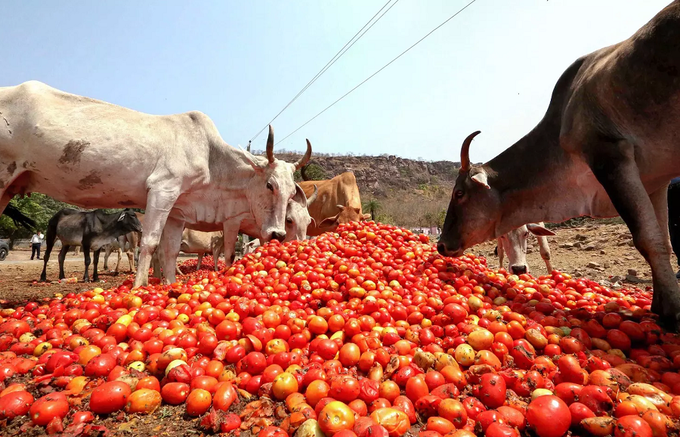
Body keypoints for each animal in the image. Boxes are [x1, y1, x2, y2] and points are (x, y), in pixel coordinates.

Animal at [0, 82, 310, 286]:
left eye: (291, 192)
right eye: (270, 185)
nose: (278, 234)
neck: (211, 159)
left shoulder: (177, 211)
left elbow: (170, 250)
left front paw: (169, 285)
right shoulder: (163, 190)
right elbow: (150, 244)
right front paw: (140, 287)